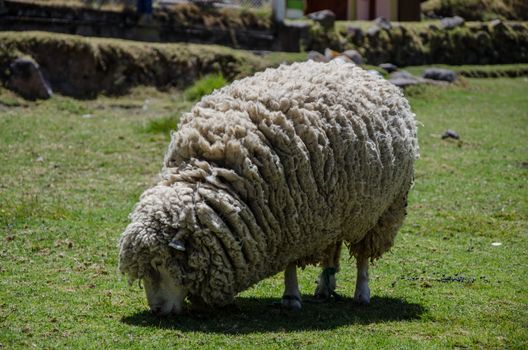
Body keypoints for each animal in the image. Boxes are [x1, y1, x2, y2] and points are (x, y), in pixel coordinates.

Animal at [117, 61, 418, 316]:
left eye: (160, 264)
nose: (156, 310)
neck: (211, 172)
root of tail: (359, 69)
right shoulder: (291, 217)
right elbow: (291, 262)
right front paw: (293, 294)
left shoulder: (292, 214)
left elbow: (291, 263)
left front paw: (291, 297)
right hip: (338, 206)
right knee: (333, 246)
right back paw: (325, 286)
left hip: (381, 210)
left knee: (363, 255)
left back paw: (361, 293)